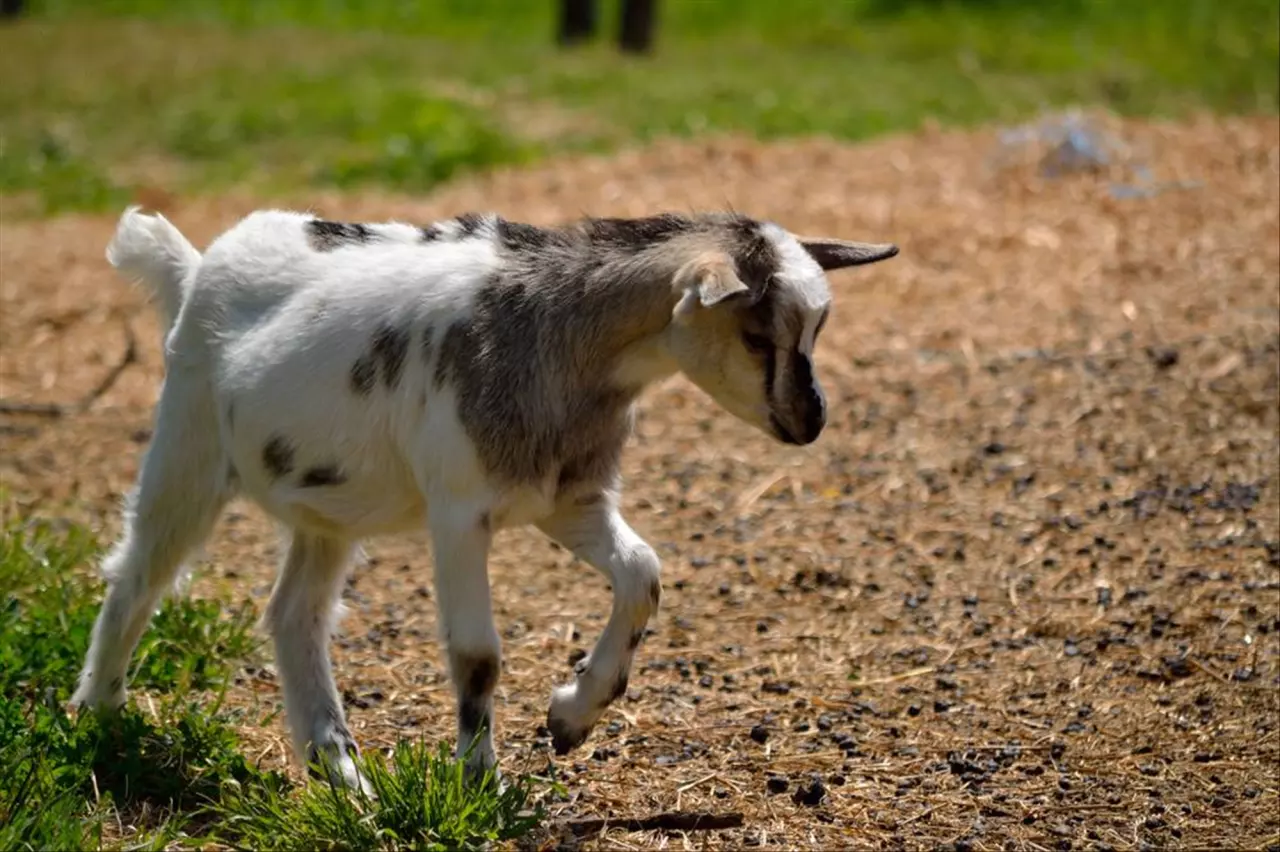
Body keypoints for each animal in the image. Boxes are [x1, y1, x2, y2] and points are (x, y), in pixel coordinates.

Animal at [72, 202, 901, 788]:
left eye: (817, 328)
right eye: (757, 336)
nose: (810, 420)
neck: (551, 337)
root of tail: (194, 265)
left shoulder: (568, 497)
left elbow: (643, 573)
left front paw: (572, 717)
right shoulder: (459, 509)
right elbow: (478, 656)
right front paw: (479, 781)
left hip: (326, 505)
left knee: (292, 615)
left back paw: (340, 771)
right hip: (188, 446)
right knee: (139, 574)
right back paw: (98, 715)